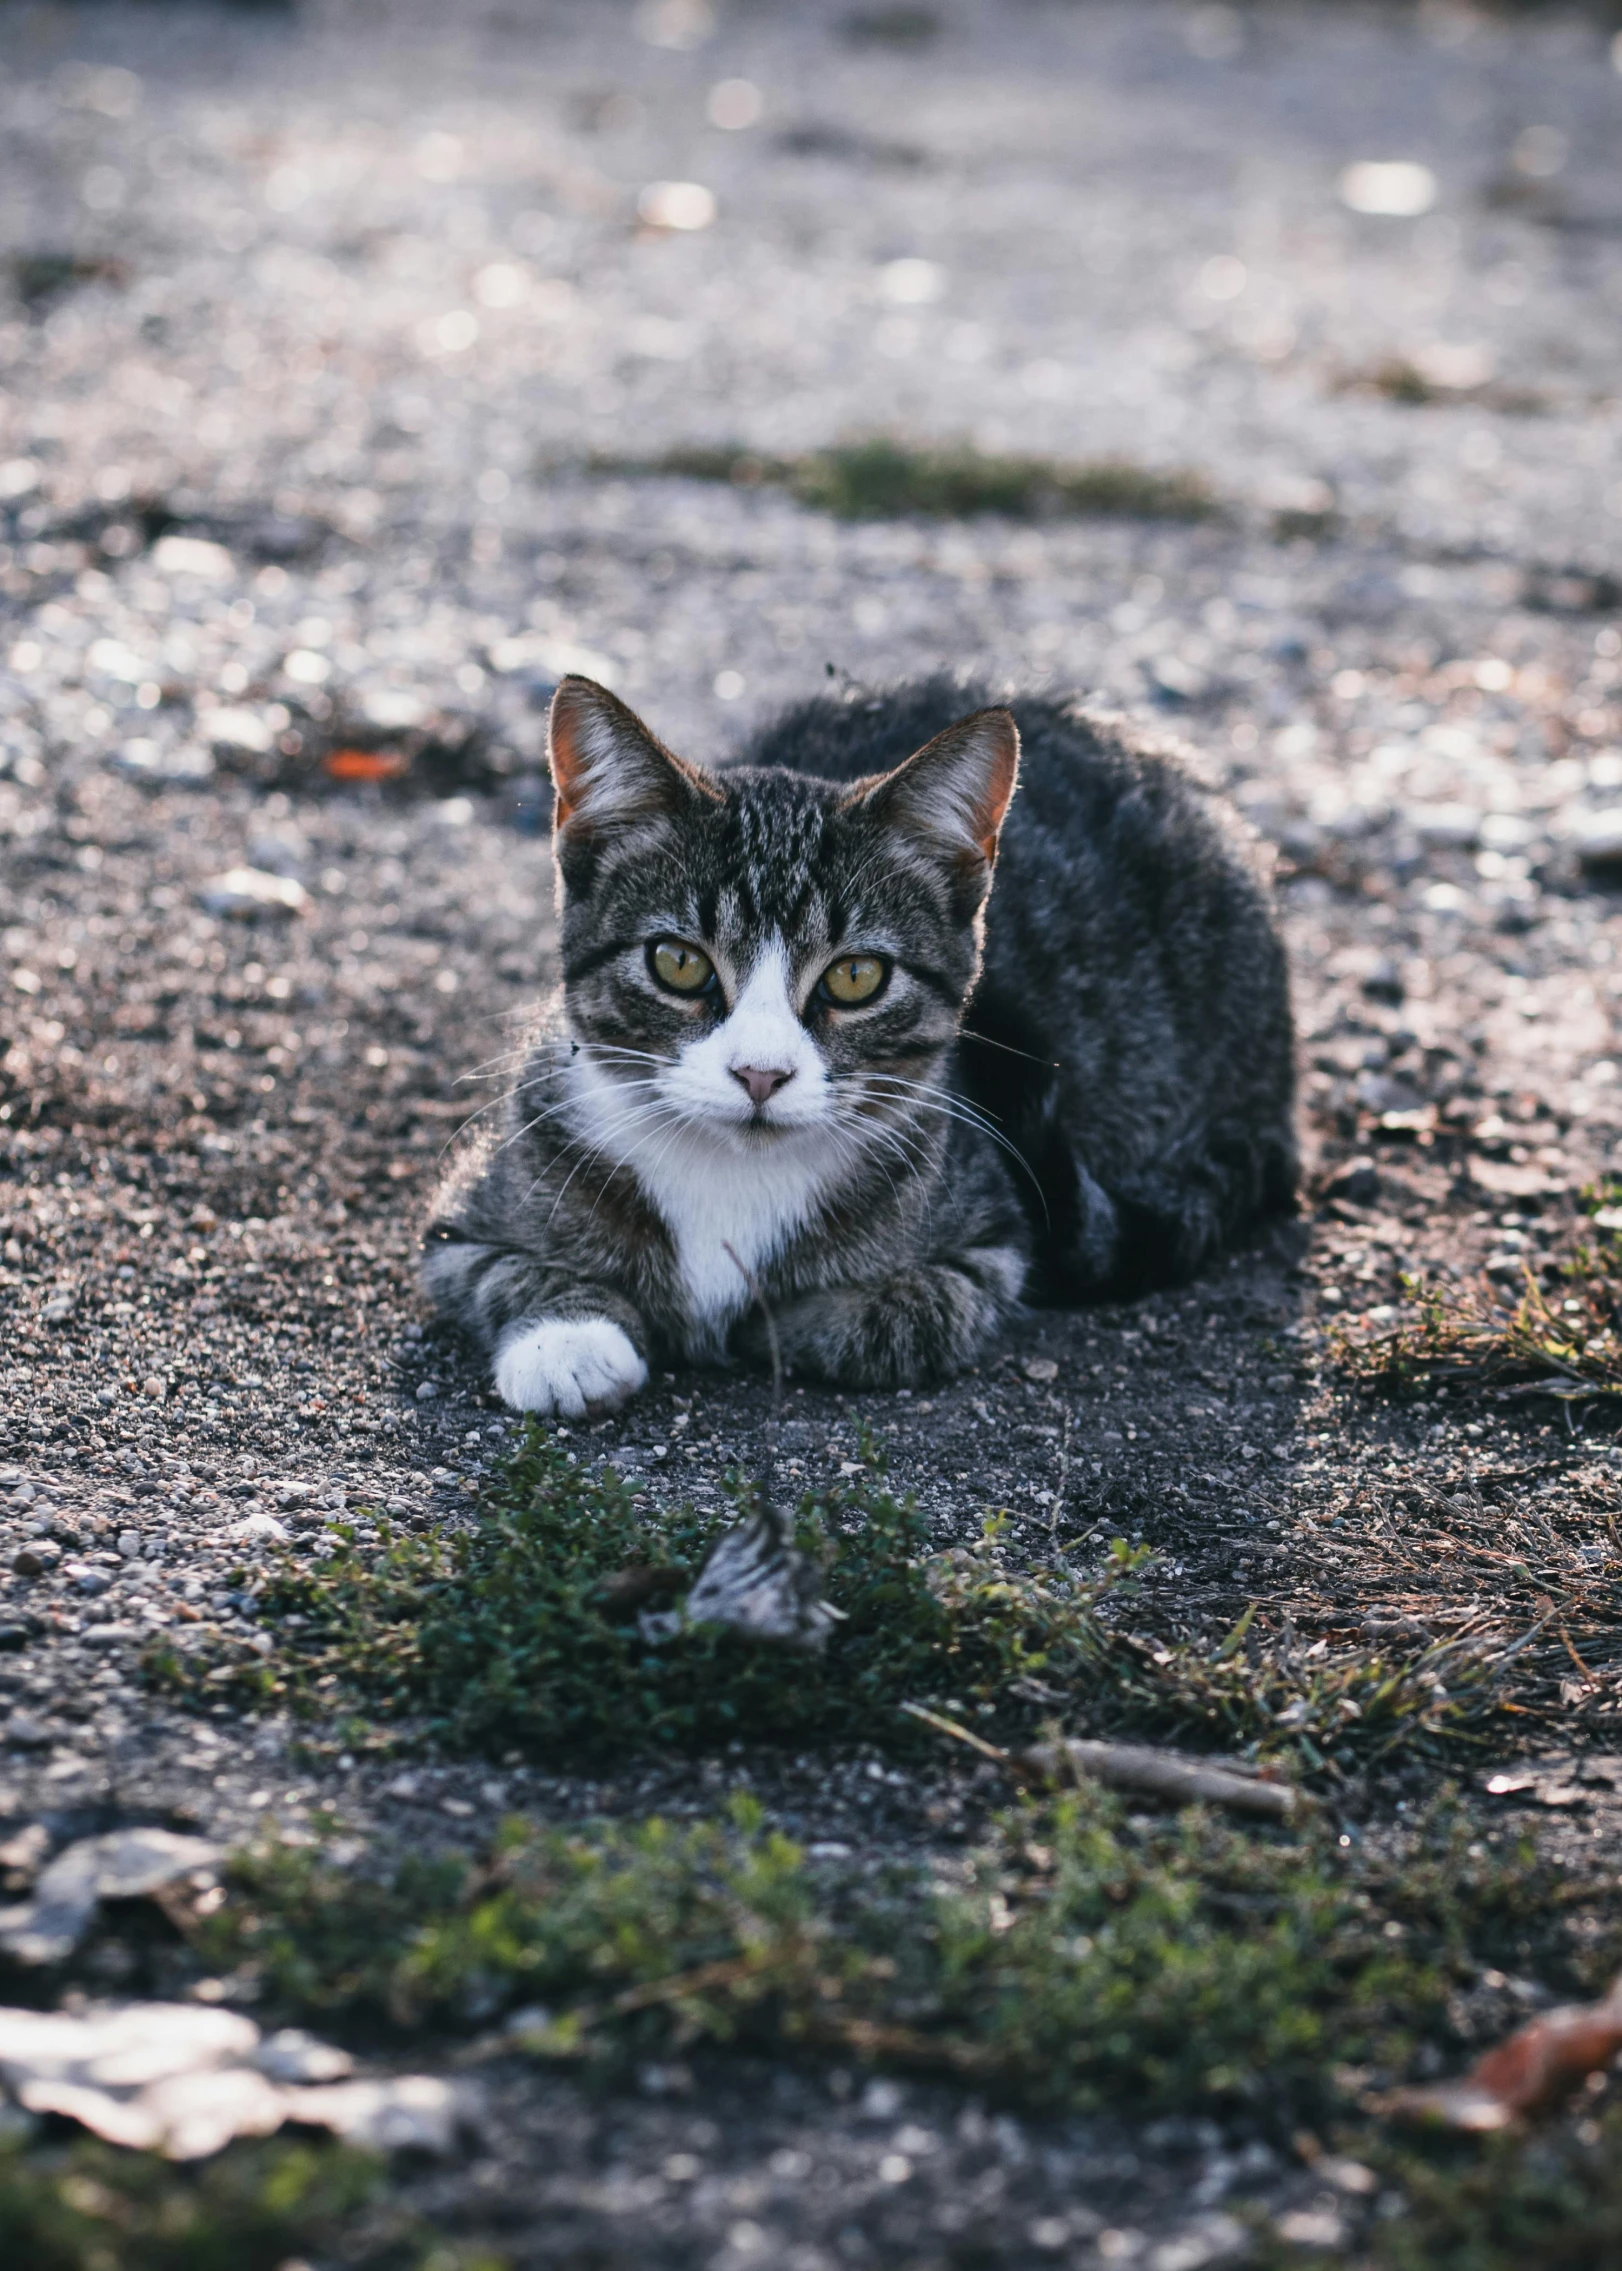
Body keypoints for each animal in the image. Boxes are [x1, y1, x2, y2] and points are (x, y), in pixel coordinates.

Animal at [422, 667, 1299, 1417]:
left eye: (855, 977)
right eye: (678, 962)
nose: (760, 1073)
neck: (730, 1175)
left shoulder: (995, 1241)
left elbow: (900, 1319)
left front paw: (764, 1323)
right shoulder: (459, 1219)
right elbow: (502, 1270)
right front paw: (567, 1342)